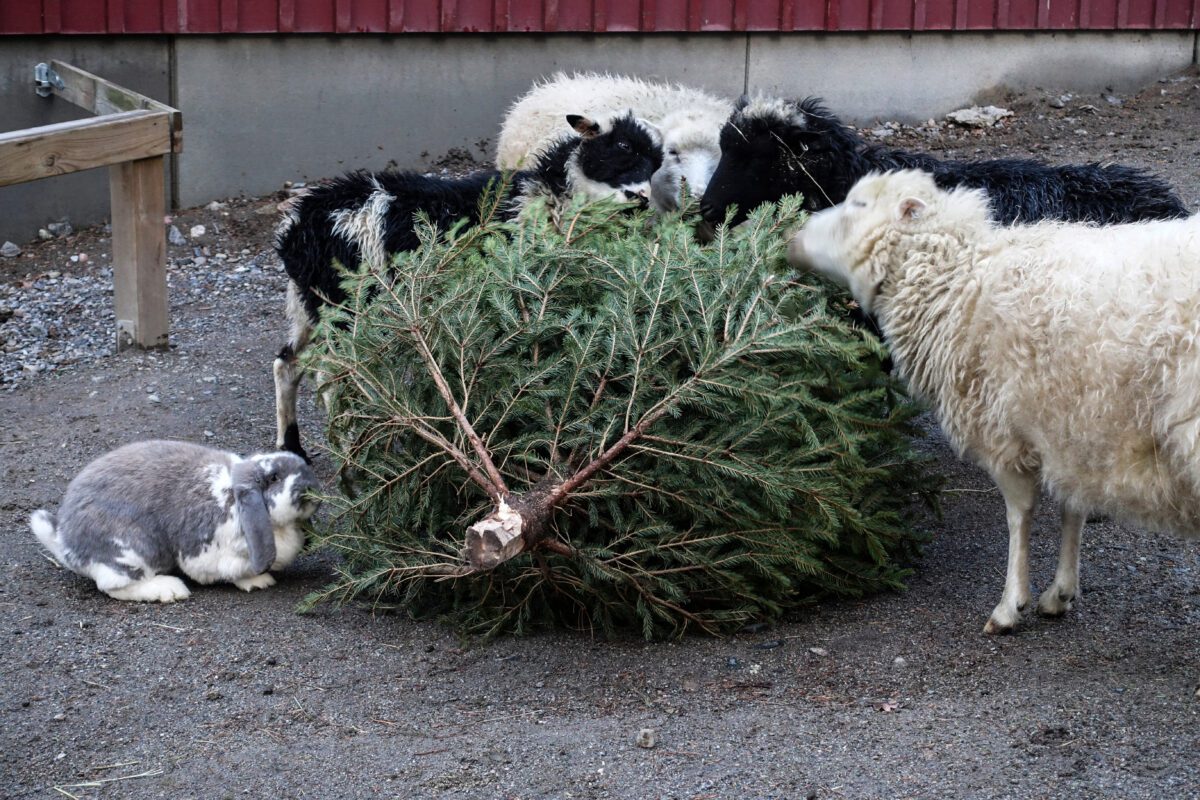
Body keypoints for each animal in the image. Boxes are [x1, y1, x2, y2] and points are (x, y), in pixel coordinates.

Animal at [32, 441, 321, 604]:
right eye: (274, 478)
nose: (311, 488)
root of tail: (65, 541)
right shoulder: (208, 553)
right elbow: (229, 571)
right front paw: (258, 581)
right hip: (133, 550)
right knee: (113, 586)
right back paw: (169, 590)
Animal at [274, 113, 667, 462]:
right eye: (621, 147)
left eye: (656, 163)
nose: (642, 198)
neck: (550, 200)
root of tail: (298, 227)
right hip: (348, 308)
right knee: (332, 380)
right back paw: (356, 454)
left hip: (309, 306)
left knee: (288, 363)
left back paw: (293, 449)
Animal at [787, 172, 1200, 633]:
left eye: (858, 205)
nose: (792, 235)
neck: (960, 283)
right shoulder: (1069, 422)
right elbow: (1071, 508)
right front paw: (1060, 592)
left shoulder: (1002, 428)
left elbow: (1019, 515)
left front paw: (1010, 605)